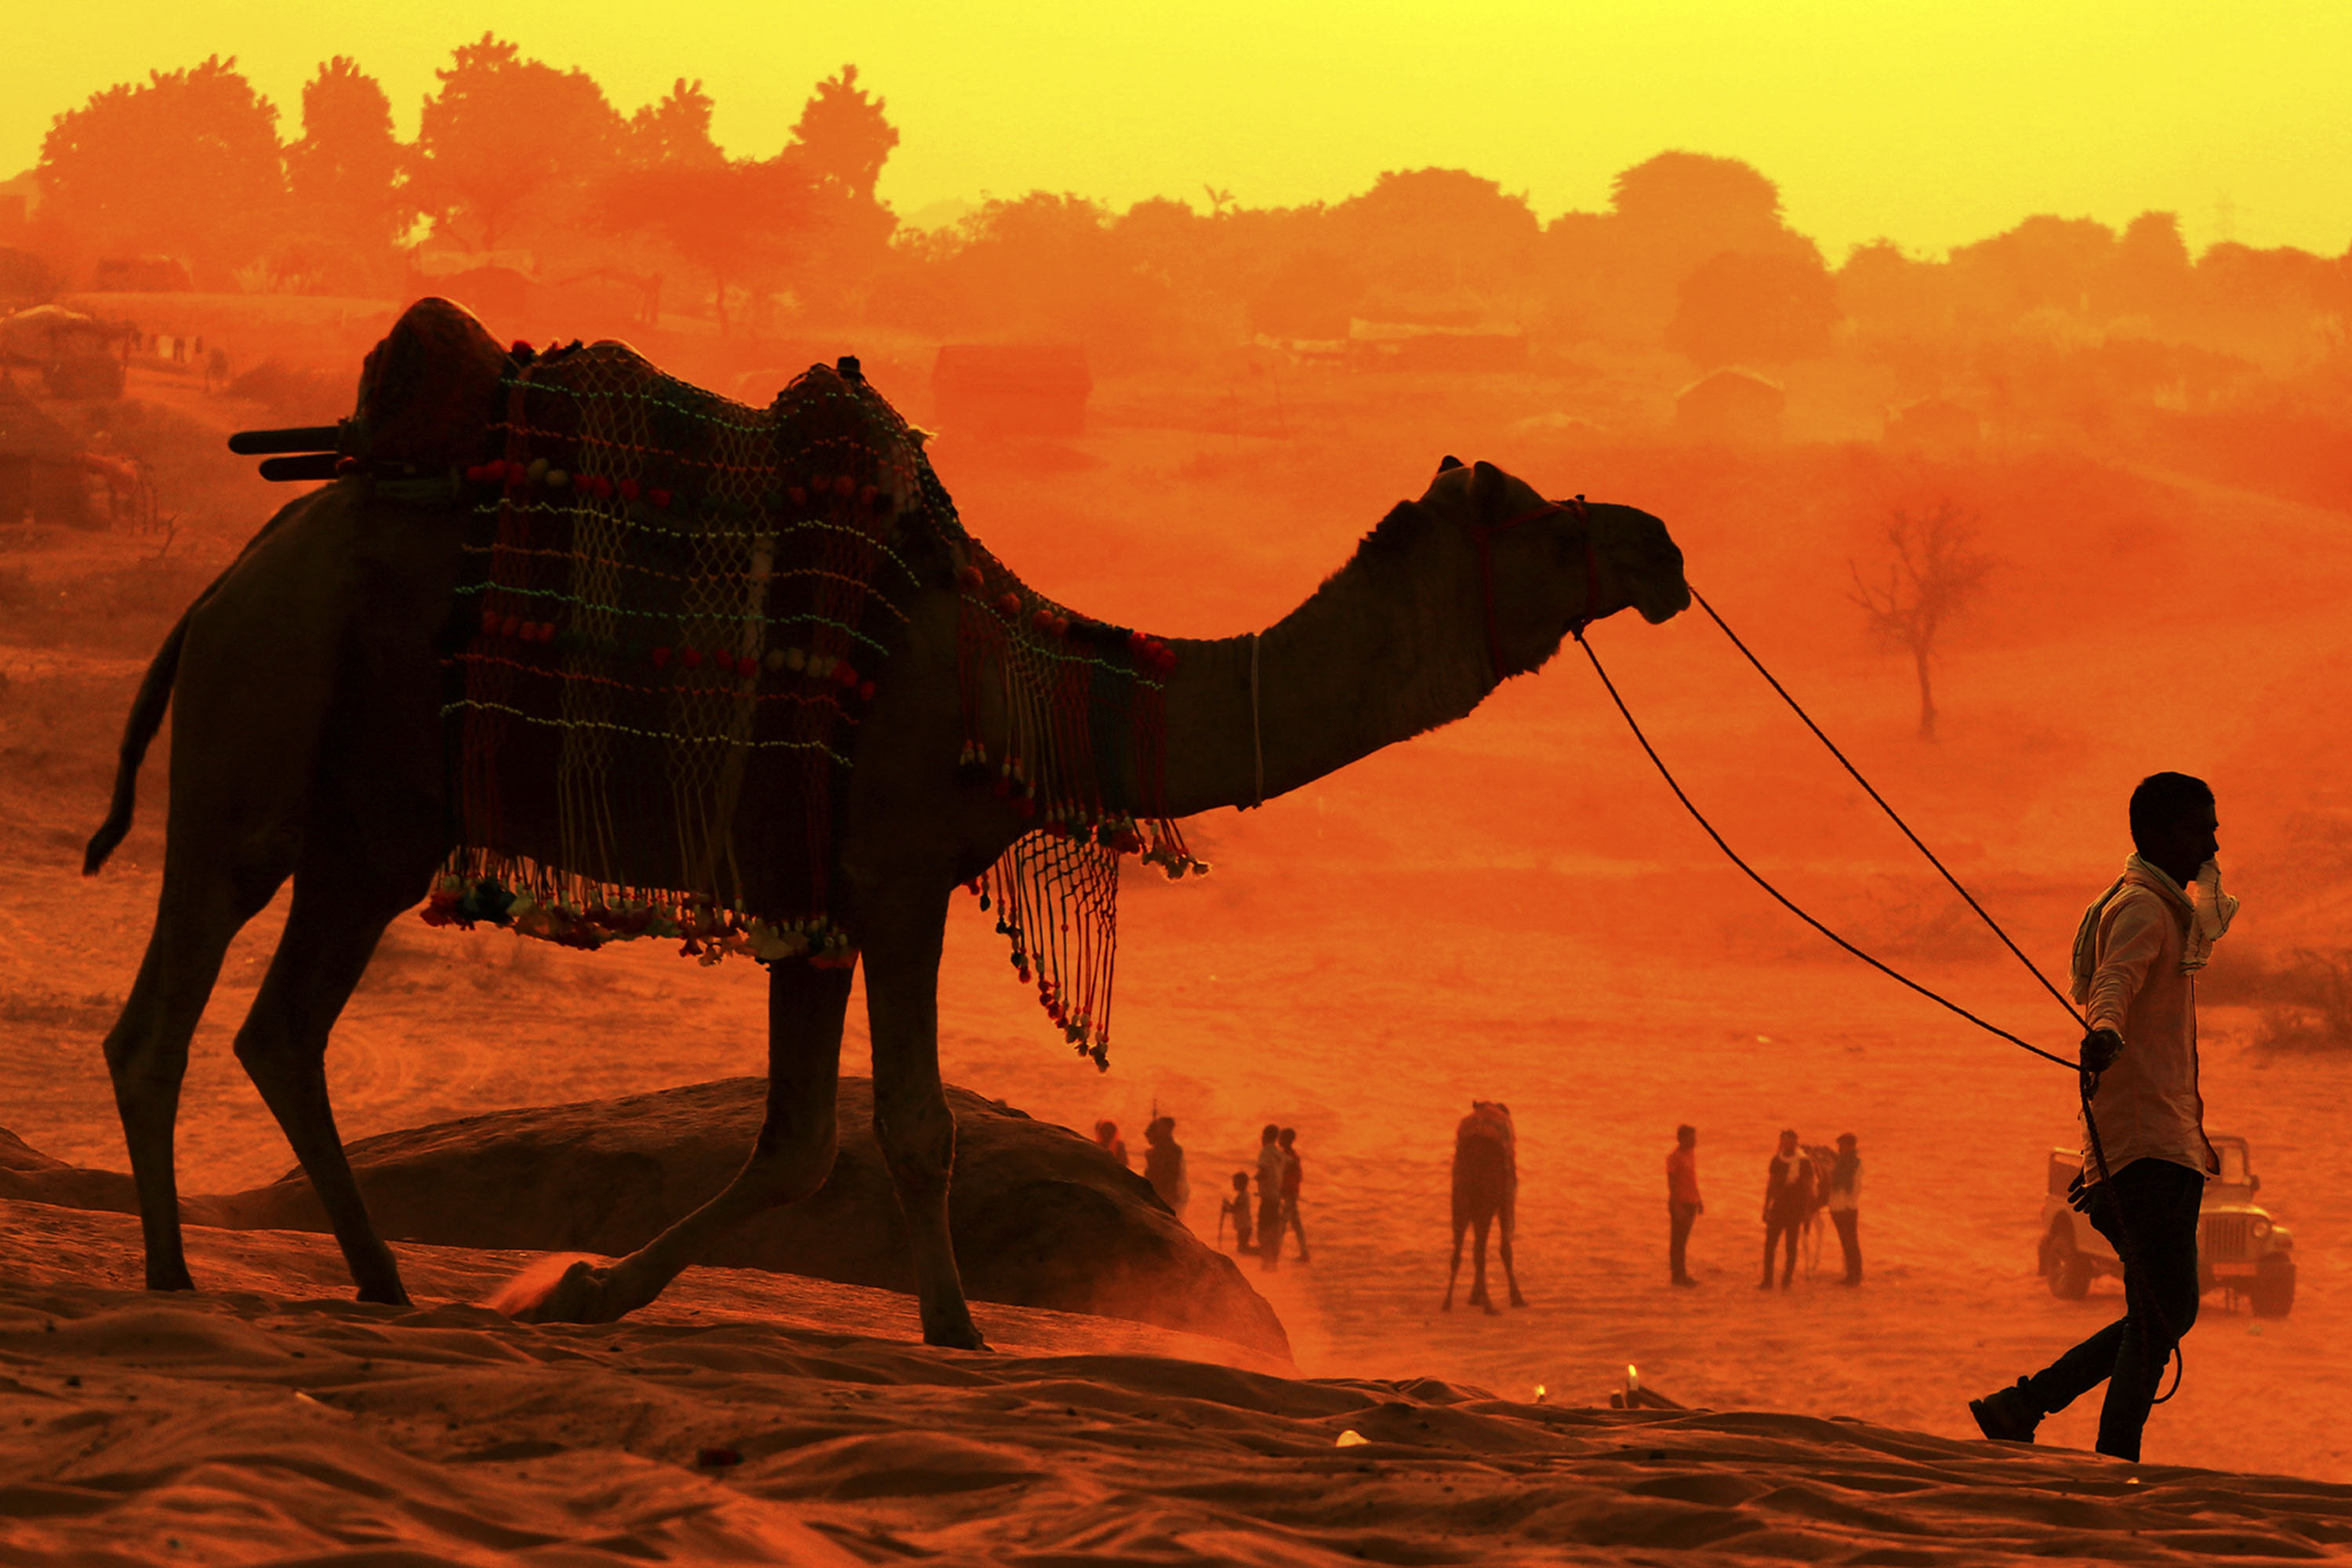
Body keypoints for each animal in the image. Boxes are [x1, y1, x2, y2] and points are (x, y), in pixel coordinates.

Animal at [1439, 1105, 1534, 1316]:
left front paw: (1476, 1296)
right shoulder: (1505, 1202)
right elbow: (1505, 1248)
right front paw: (1516, 1298)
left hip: (1460, 1203)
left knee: (1459, 1253)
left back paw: (1448, 1302)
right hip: (1487, 1205)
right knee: (1481, 1252)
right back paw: (1489, 1305)